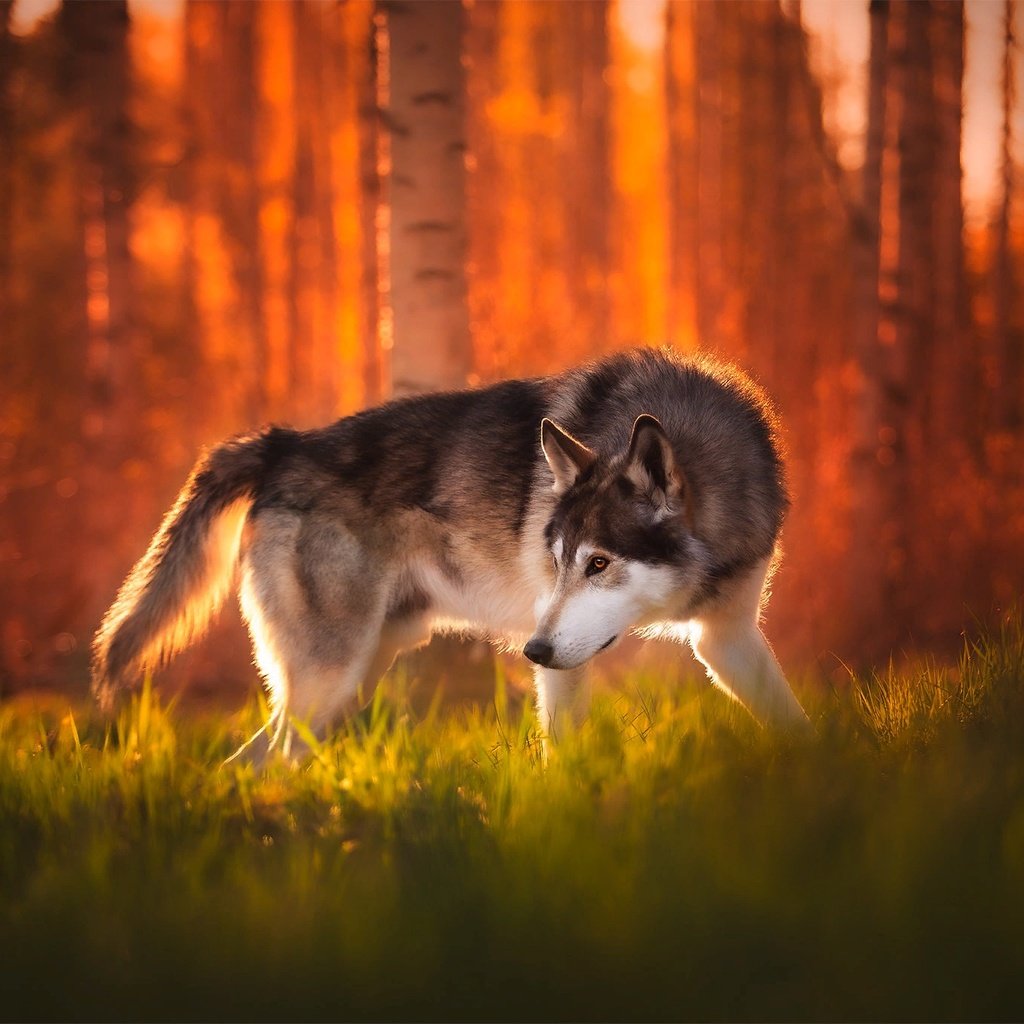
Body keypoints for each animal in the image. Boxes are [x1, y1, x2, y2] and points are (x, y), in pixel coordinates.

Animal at [94, 348, 806, 757]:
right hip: (328, 681)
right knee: (254, 761)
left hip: (354, 678)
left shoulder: (725, 637)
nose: (532, 650)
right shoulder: (565, 668)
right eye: (558, 562)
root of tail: (282, 444)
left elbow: (794, 723)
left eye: (598, 564)